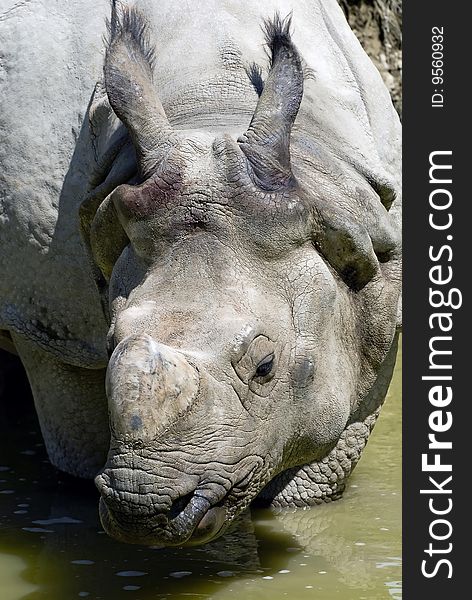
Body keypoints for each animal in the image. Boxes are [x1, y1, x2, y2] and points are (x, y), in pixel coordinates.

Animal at [0, 0, 400, 548]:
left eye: (266, 366)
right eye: (109, 343)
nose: (142, 508)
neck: (212, 112)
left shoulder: (373, 262)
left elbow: (310, 482)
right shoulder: (49, 331)